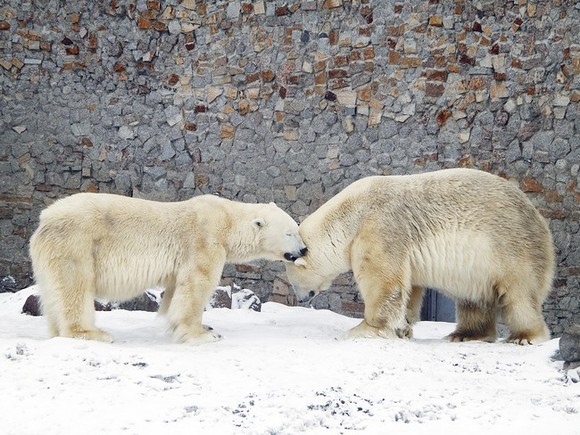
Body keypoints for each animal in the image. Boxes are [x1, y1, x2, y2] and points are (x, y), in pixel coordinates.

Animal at [30, 193, 308, 344]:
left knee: (54, 292)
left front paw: (201, 327)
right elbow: (196, 284)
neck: (227, 221)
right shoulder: (204, 241)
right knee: (75, 286)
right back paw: (92, 333)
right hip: (76, 243)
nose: (304, 250)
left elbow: (176, 291)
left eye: (297, 229)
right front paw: (202, 334)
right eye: (290, 232)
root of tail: (45, 219)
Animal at [286, 169, 552, 346]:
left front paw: (362, 329)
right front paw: (403, 328)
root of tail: (539, 220)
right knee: (474, 299)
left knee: (519, 295)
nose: (301, 299)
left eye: (293, 281)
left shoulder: (380, 227)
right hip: (481, 267)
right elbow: (409, 287)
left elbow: (383, 282)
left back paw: (524, 337)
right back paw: (464, 334)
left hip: (509, 248)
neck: (351, 214)